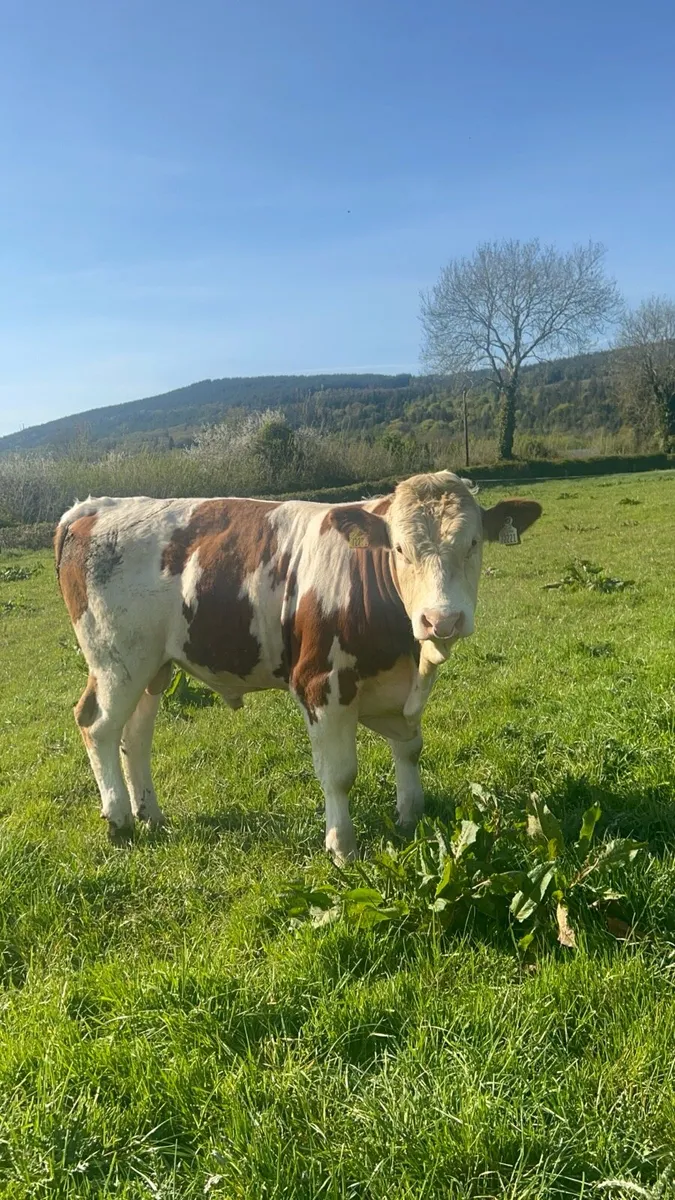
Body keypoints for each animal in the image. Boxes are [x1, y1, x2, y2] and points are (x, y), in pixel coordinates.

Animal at [55, 471, 541, 861]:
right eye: (401, 549)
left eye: (473, 543)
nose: (442, 620)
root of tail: (92, 508)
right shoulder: (320, 684)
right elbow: (339, 775)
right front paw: (342, 848)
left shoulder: (396, 689)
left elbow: (409, 750)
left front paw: (409, 817)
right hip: (117, 661)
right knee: (97, 725)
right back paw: (119, 819)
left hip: (154, 666)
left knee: (135, 735)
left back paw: (150, 813)